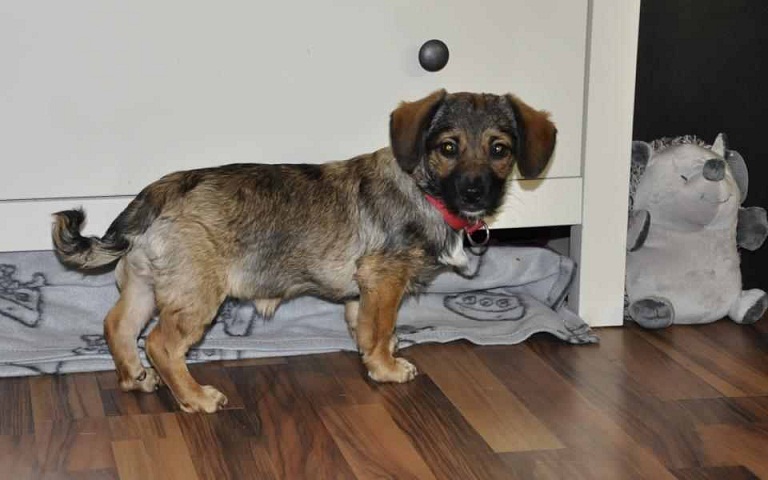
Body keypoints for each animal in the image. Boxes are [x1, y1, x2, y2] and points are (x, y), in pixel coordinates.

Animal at [51, 90, 556, 413]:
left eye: (500, 150)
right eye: (448, 147)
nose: (474, 193)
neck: (422, 188)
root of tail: (159, 191)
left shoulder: (362, 291)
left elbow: (366, 328)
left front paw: (377, 354)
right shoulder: (385, 280)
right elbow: (380, 329)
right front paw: (387, 368)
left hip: (146, 284)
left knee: (117, 327)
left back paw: (134, 378)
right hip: (196, 295)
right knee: (161, 344)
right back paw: (195, 398)